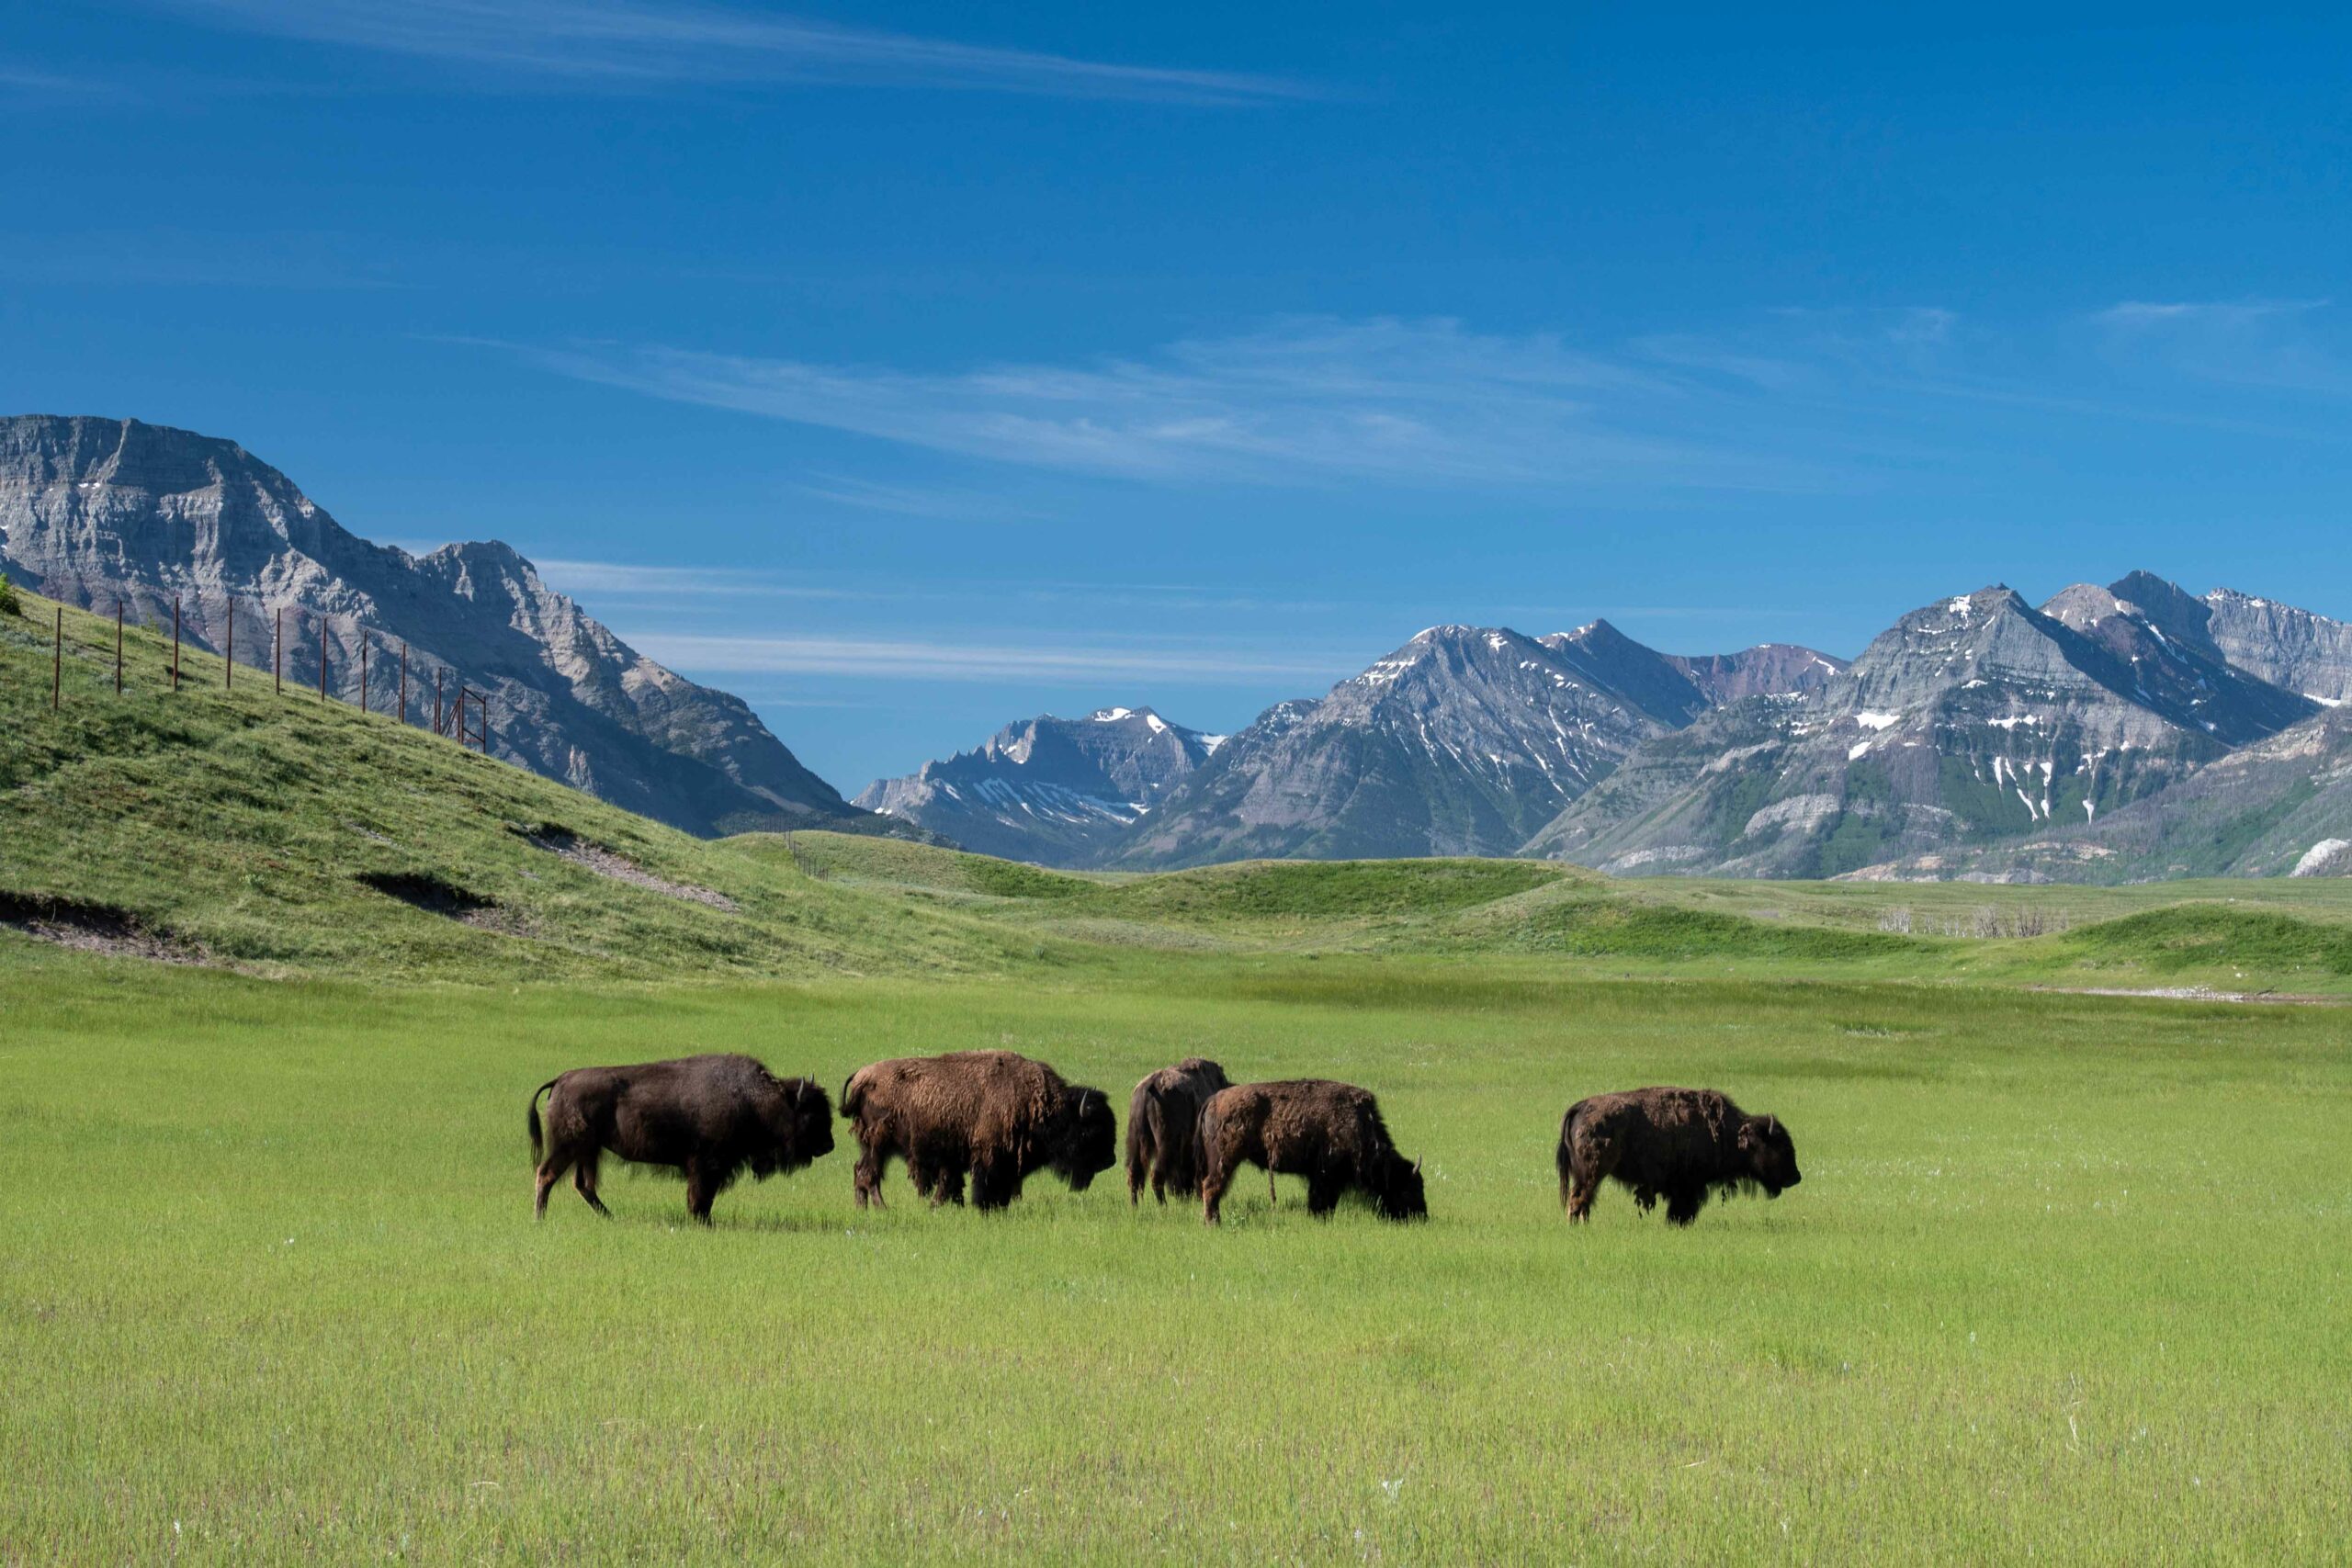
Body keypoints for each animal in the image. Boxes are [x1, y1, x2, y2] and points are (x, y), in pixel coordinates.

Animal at [527, 1053, 834, 1224]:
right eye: (811, 1114)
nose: (829, 1145)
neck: (755, 1100)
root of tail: (561, 1079)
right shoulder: (706, 1165)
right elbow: (700, 1197)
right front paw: (701, 1221)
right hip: (569, 1147)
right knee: (546, 1174)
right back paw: (540, 1218)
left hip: (588, 1151)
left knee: (583, 1185)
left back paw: (611, 1218)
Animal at [840, 1050, 1116, 1211]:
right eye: (1089, 1131)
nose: (1110, 1160)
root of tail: (862, 1077)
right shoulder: (988, 1155)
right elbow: (983, 1182)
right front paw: (984, 1206)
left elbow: (952, 1183)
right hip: (878, 1143)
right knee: (869, 1174)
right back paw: (881, 1208)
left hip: (870, 1145)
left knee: (860, 1171)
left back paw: (863, 1208)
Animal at [1125, 1056, 1232, 1205]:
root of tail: (1149, 1087)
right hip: (1166, 1144)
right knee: (1156, 1175)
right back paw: (1163, 1206)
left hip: (1135, 1139)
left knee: (1134, 1173)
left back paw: (1135, 1206)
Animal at [1197, 1079, 1427, 1225]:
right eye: (1408, 1189)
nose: (1422, 1217)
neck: (1359, 1125)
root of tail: (1213, 1100)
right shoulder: (1326, 1177)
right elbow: (1322, 1201)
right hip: (1225, 1160)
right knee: (1211, 1187)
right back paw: (1214, 1223)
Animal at [1557, 1086, 1801, 1226]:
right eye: (1782, 1147)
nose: (1796, 1177)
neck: (1730, 1132)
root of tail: (1580, 1107)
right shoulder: (1688, 1187)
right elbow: (1682, 1209)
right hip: (1591, 1173)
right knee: (1580, 1197)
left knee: (1584, 1199)